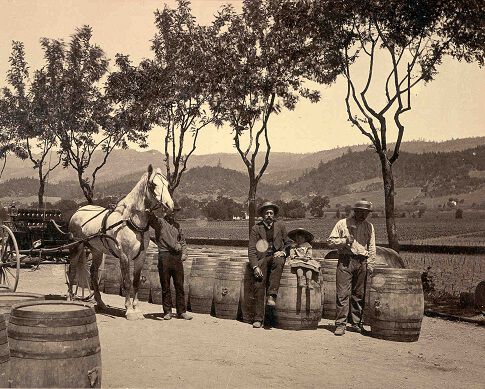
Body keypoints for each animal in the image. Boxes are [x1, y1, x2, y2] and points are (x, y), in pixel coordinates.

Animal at [67, 164, 173, 318]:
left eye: (168, 184)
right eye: (153, 185)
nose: (170, 206)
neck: (131, 221)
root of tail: (79, 211)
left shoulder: (141, 256)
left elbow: (136, 281)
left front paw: (136, 309)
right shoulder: (124, 256)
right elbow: (127, 282)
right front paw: (129, 310)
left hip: (96, 250)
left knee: (93, 273)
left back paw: (100, 303)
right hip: (76, 247)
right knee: (72, 269)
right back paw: (69, 297)